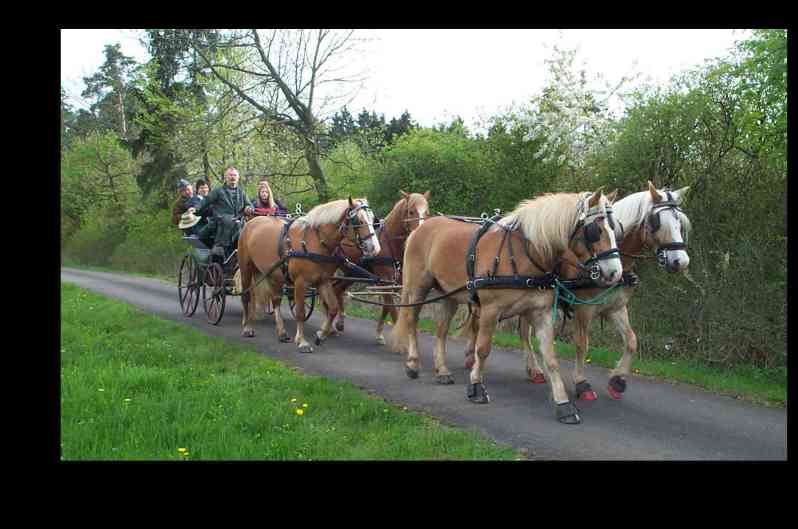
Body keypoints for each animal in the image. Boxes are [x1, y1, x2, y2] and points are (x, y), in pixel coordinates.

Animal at [236, 197, 380, 353]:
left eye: (373, 219)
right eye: (358, 220)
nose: (375, 248)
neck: (315, 242)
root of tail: (251, 222)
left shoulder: (323, 281)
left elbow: (333, 308)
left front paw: (321, 335)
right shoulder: (301, 282)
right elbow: (300, 312)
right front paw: (302, 341)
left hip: (273, 274)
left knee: (274, 300)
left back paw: (280, 332)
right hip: (246, 268)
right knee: (247, 296)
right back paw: (247, 327)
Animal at [328, 190, 431, 344]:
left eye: (427, 212)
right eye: (411, 211)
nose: (420, 235)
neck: (390, 243)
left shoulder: (393, 283)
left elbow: (387, 307)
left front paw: (379, 334)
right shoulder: (384, 281)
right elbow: (393, 311)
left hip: (352, 272)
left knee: (337, 289)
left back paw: (338, 323)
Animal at [391, 189, 622, 424]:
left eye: (617, 229)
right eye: (596, 230)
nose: (615, 273)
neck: (525, 254)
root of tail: (421, 227)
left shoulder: (541, 313)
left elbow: (550, 358)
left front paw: (563, 404)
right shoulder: (490, 310)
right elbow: (483, 349)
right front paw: (476, 387)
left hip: (449, 296)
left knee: (441, 332)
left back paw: (442, 371)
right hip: (418, 288)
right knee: (412, 321)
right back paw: (412, 363)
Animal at [518, 181, 691, 401]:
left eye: (680, 222)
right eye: (656, 221)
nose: (681, 262)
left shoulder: (616, 308)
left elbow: (632, 341)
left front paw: (618, 381)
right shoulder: (583, 310)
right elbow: (582, 345)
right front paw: (581, 383)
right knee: (524, 332)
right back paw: (535, 369)